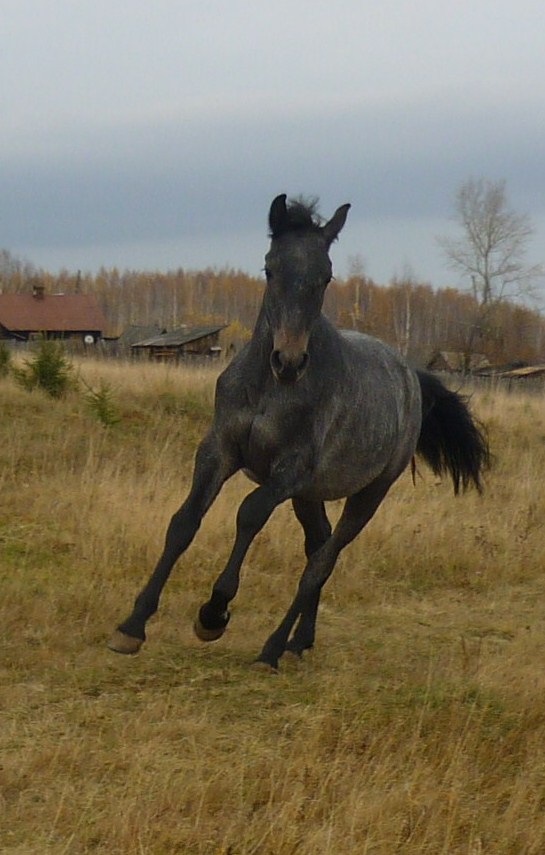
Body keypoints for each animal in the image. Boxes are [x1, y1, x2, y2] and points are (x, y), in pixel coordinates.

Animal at [108, 194, 489, 670]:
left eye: (326, 276)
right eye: (270, 268)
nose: (288, 361)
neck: (268, 389)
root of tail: (411, 376)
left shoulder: (288, 472)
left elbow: (249, 514)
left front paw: (214, 613)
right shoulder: (218, 451)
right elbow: (184, 522)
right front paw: (132, 626)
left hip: (369, 492)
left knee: (321, 563)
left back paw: (272, 648)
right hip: (310, 495)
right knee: (318, 545)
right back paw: (300, 640)